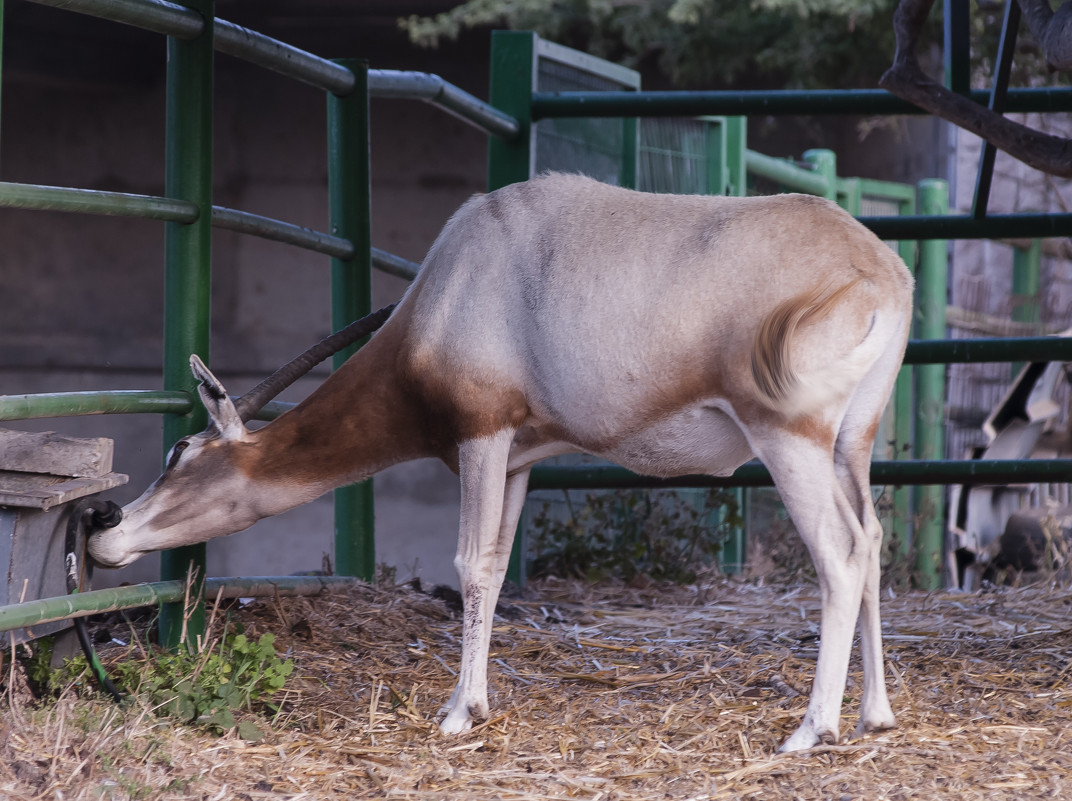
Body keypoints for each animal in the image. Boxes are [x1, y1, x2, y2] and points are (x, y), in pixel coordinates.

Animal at [90, 172, 913, 754]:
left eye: (180, 451)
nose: (105, 534)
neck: (458, 273)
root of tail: (883, 272)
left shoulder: (481, 437)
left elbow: (469, 563)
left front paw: (460, 711)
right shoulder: (519, 456)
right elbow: (494, 557)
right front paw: (475, 700)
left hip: (788, 436)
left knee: (839, 552)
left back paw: (812, 729)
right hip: (851, 444)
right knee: (872, 541)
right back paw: (873, 716)